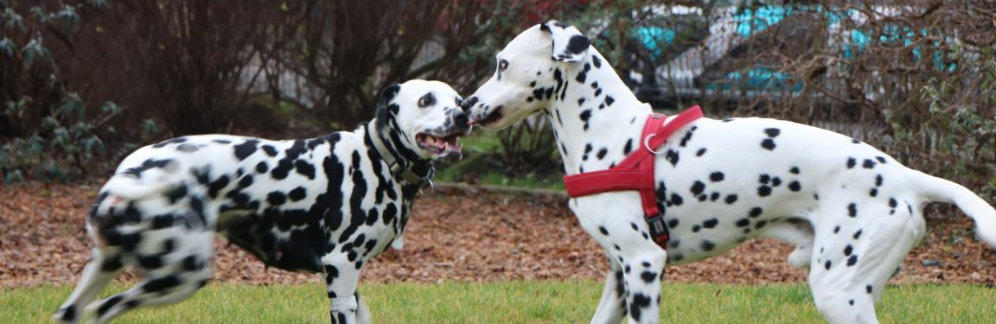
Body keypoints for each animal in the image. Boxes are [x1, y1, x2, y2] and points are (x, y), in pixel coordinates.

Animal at [54, 79, 470, 324]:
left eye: (457, 99)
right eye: (427, 99)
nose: (465, 113)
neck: (378, 157)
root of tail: (129, 173)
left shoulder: (350, 283)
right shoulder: (341, 270)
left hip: (107, 269)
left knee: (75, 312)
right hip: (182, 274)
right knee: (102, 309)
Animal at [462, 21, 992, 322]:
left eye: (502, 63)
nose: (465, 105)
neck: (615, 135)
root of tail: (905, 176)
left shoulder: (645, 267)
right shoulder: (619, 275)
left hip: (838, 293)